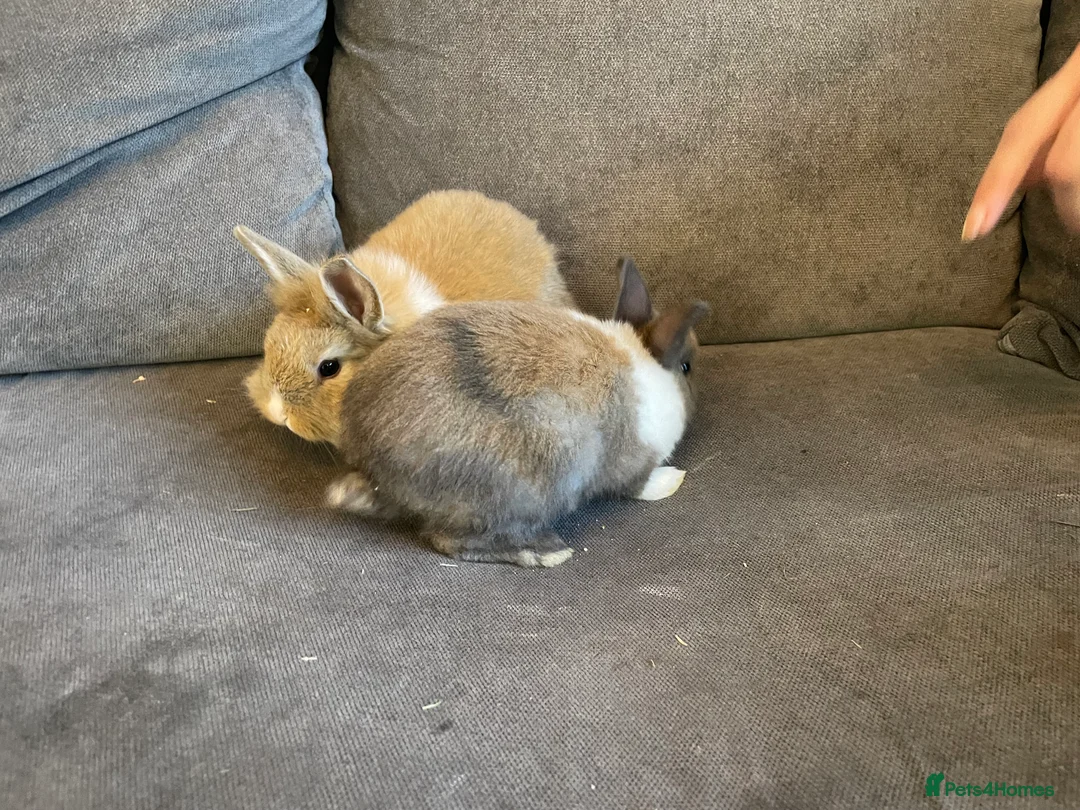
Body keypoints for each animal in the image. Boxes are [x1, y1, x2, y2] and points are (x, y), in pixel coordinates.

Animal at [326, 256, 709, 567]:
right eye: (687, 367)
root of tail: (373, 472)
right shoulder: (632, 462)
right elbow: (638, 486)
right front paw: (671, 480)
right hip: (516, 492)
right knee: (450, 539)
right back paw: (544, 552)